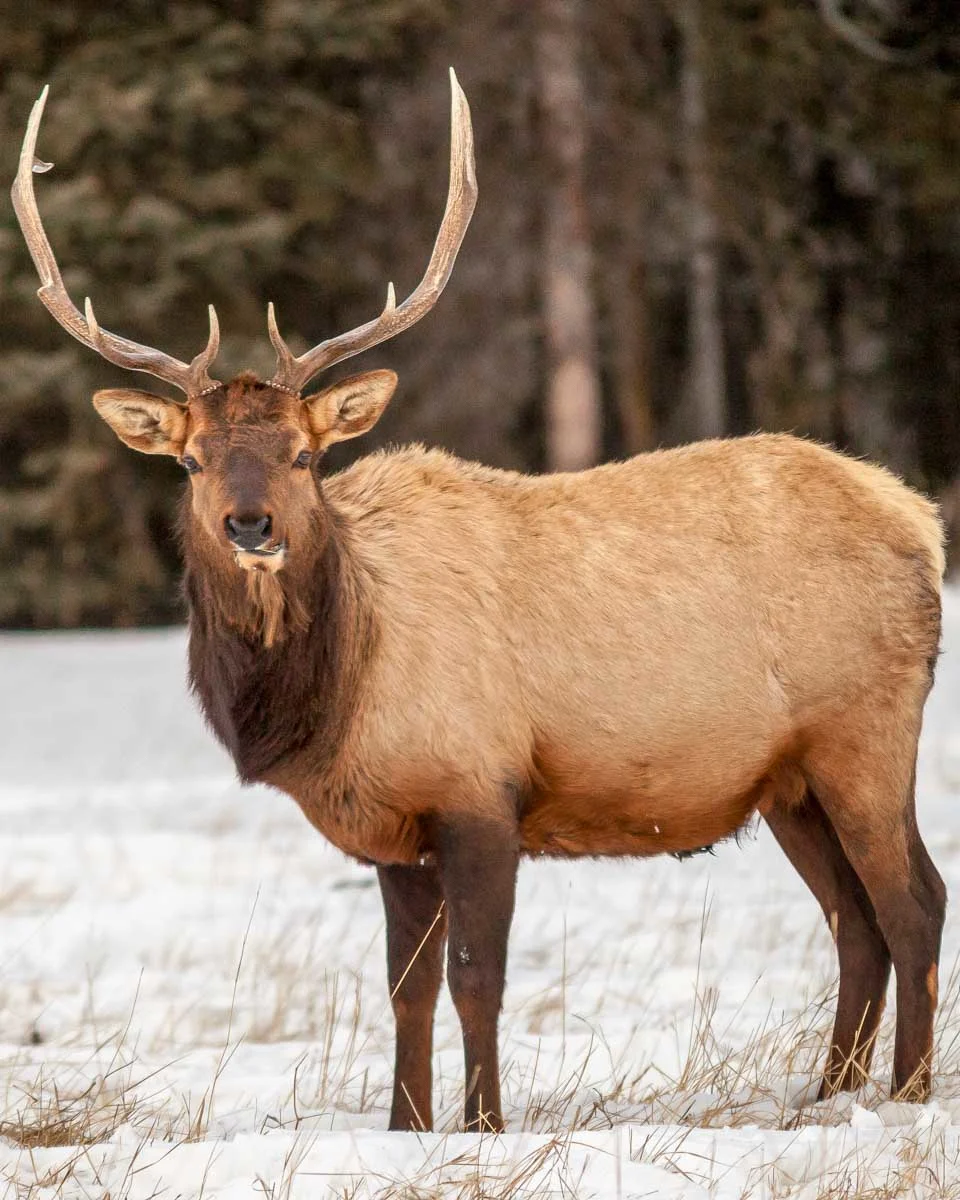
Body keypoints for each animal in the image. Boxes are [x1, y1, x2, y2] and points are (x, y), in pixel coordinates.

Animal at [13, 73, 947, 1132]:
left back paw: (906, 1096)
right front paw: (405, 1126)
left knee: (914, 905)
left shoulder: (479, 788)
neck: (338, 692)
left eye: (306, 452)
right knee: (855, 923)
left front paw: (483, 1124)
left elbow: (476, 977)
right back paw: (825, 1099)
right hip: (788, 780)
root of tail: (920, 520)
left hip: (864, 731)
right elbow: (404, 987)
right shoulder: (392, 825)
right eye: (193, 459)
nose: (252, 524)